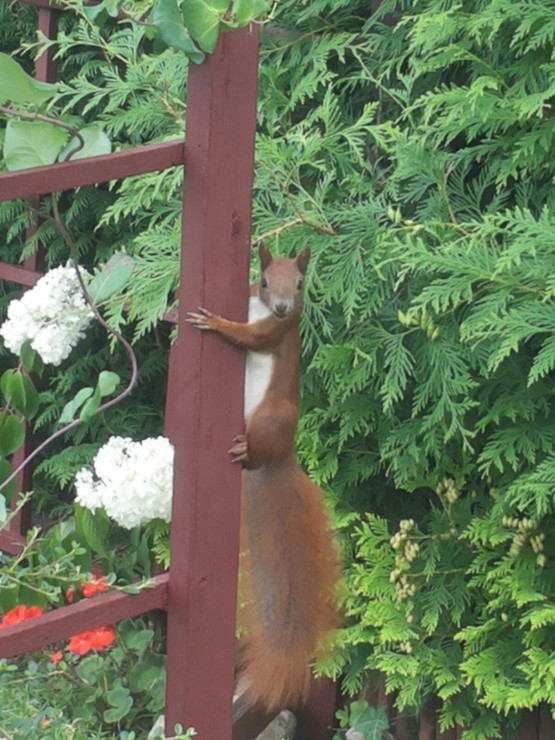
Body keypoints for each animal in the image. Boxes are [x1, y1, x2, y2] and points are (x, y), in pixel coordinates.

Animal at [188, 247, 344, 712]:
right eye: (262, 279)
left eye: (301, 284)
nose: (282, 307)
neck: (262, 310)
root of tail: (279, 458)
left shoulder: (278, 332)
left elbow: (251, 337)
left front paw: (217, 323)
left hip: (273, 414)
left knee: (258, 447)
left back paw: (247, 453)